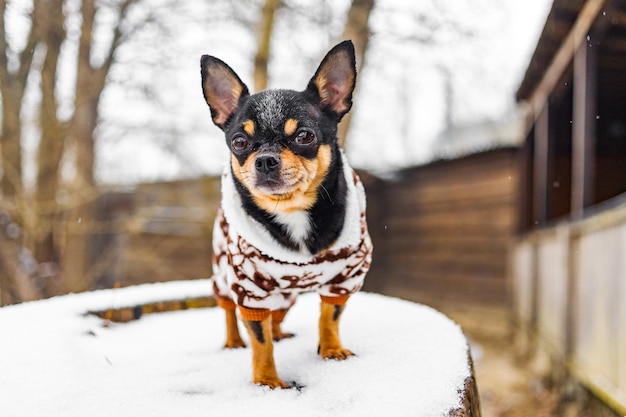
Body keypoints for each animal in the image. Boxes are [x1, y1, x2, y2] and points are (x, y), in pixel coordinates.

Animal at [200, 40, 370, 388]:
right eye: (239, 142)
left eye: (304, 136)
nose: (265, 159)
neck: (292, 210)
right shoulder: (250, 288)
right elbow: (259, 339)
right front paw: (267, 382)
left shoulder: (345, 277)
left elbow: (330, 316)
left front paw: (332, 351)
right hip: (224, 276)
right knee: (229, 310)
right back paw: (233, 341)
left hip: (284, 291)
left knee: (278, 313)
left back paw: (279, 331)